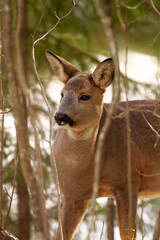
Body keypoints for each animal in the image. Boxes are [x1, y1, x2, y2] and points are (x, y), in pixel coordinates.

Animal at [45, 49, 160, 240]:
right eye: (61, 94)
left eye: (85, 96)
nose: (60, 116)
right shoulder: (71, 193)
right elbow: (60, 234)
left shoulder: (128, 180)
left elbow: (127, 233)